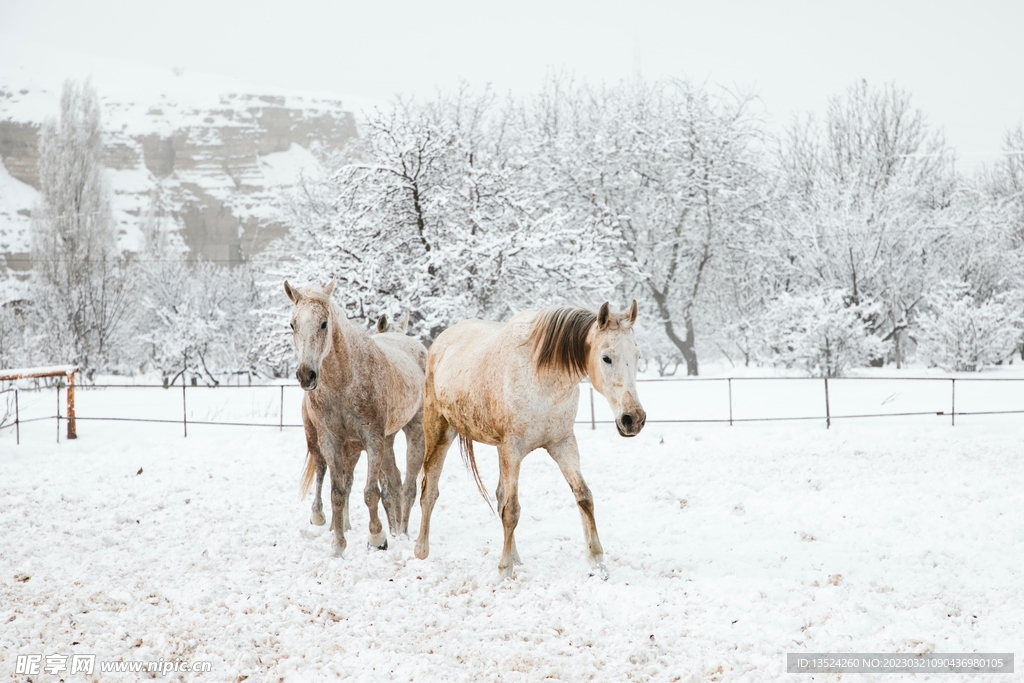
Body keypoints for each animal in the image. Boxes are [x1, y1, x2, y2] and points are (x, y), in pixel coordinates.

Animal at [413, 301, 643, 581]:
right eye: (606, 357)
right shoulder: (513, 449)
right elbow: (512, 510)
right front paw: (504, 571)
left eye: (637, 355)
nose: (633, 418)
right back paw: (421, 551)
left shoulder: (562, 444)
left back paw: (516, 556)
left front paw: (598, 564)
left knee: (499, 496)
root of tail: (440, 342)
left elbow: (583, 496)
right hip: (439, 432)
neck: (542, 376)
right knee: (429, 491)